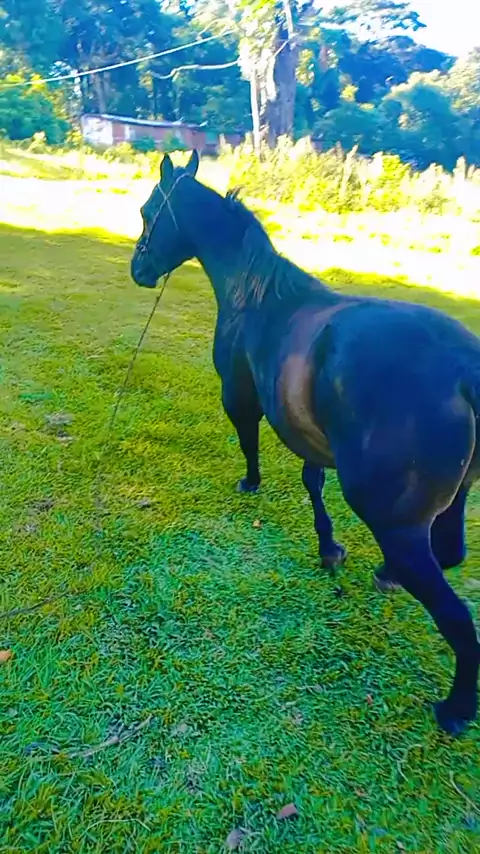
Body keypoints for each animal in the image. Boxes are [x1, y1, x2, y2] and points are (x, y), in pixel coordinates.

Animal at [130, 150, 480, 736]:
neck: (258, 298)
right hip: (451, 501)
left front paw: (252, 484)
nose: (138, 270)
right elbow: (313, 483)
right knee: (451, 552)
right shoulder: (312, 439)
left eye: (147, 211)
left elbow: (251, 446)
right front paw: (329, 547)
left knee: (457, 617)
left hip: (397, 527)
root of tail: (462, 370)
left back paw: (455, 709)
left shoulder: (241, 402)